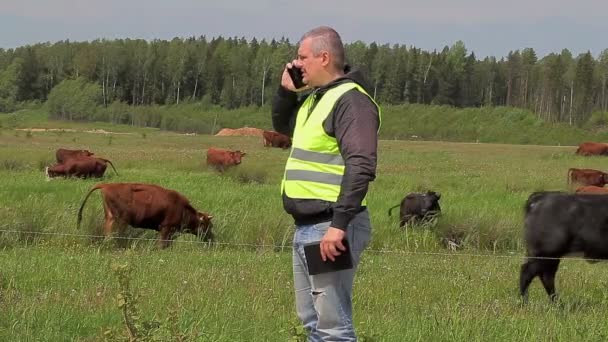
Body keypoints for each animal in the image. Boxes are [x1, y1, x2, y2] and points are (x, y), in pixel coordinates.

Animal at [78, 183, 214, 247]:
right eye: (207, 224)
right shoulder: (166, 228)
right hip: (119, 221)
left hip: (110, 218)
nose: (211, 239)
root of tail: (106, 185)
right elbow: (162, 244)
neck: (183, 209)